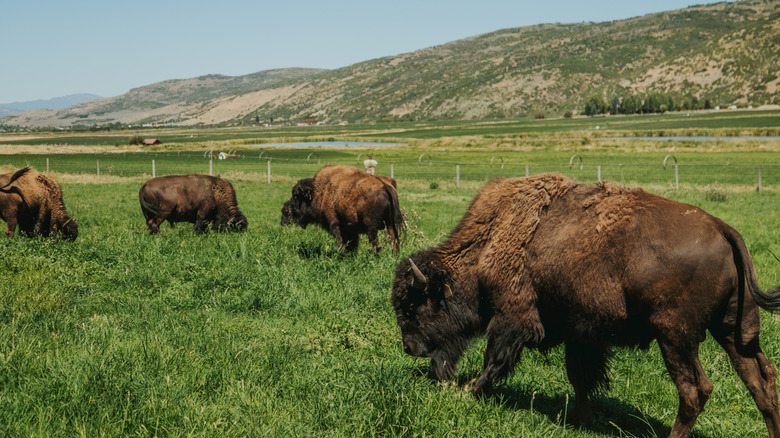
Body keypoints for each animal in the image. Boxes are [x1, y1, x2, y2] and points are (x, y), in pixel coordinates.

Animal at [392, 173, 780, 437]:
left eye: (415, 307)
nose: (409, 347)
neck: (491, 241)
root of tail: (723, 229)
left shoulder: (513, 317)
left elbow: (495, 358)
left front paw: (473, 391)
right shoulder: (581, 333)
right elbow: (580, 376)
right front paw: (579, 420)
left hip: (676, 338)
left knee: (695, 390)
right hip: (734, 330)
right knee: (760, 379)